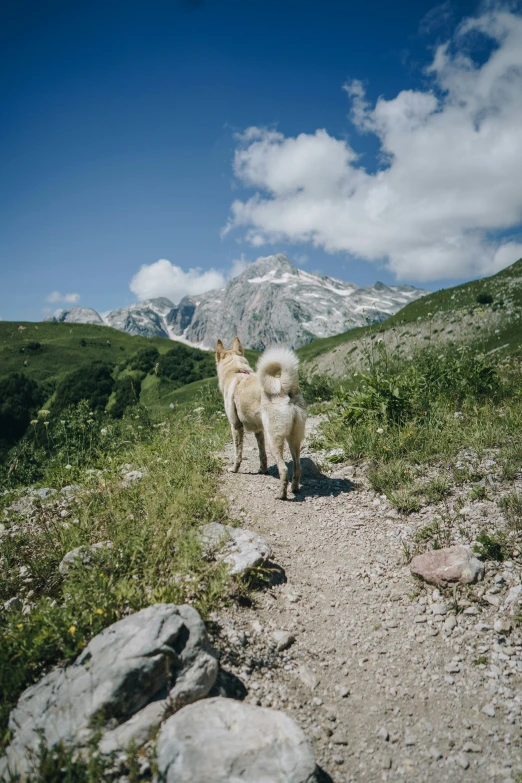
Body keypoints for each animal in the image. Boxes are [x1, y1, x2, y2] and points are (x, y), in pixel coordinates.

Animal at [214, 338, 304, 500]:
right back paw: (294, 488)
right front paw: (262, 470)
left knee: (284, 469)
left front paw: (234, 469)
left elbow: (238, 453)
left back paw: (281, 494)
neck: (236, 371)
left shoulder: (235, 426)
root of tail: (284, 386)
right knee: (297, 466)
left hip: (273, 439)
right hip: (294, 439)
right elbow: (262, 454)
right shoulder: (258, 430)